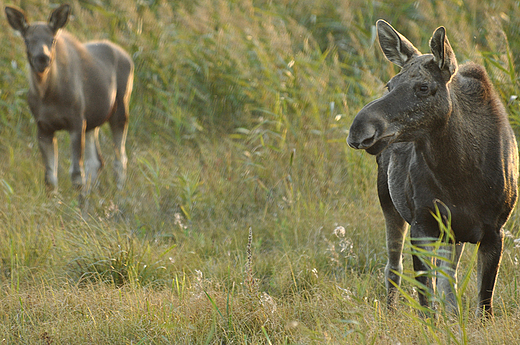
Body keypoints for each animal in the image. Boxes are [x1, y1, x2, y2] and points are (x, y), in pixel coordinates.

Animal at [5, 3, 134, 199]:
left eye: (52, 39)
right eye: (27, 40)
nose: (42, 58)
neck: (48, 96)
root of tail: (128, 57)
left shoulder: (76, 123)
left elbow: (76, 175)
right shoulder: (44, 128)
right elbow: (50, 178)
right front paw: (54, 204)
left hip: (120, 111)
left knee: (120, 158)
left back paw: (119, 197)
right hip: (93, 122)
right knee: (97, 161)